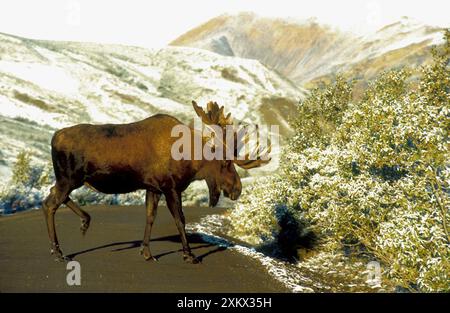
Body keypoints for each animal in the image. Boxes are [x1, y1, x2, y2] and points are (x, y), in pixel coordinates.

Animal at [41, 101, 270, 262]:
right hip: (69, 178)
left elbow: (150, 217)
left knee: (53, 196)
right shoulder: (171, 188)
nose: (237, 189)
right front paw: (189, 254)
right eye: (225, 162)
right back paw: (58, 252)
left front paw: (147, 252)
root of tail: (53, 137)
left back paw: (84, 221)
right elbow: (180, 220)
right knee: (49, 203)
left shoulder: (153, 188)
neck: (191, 158)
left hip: (69, 179)